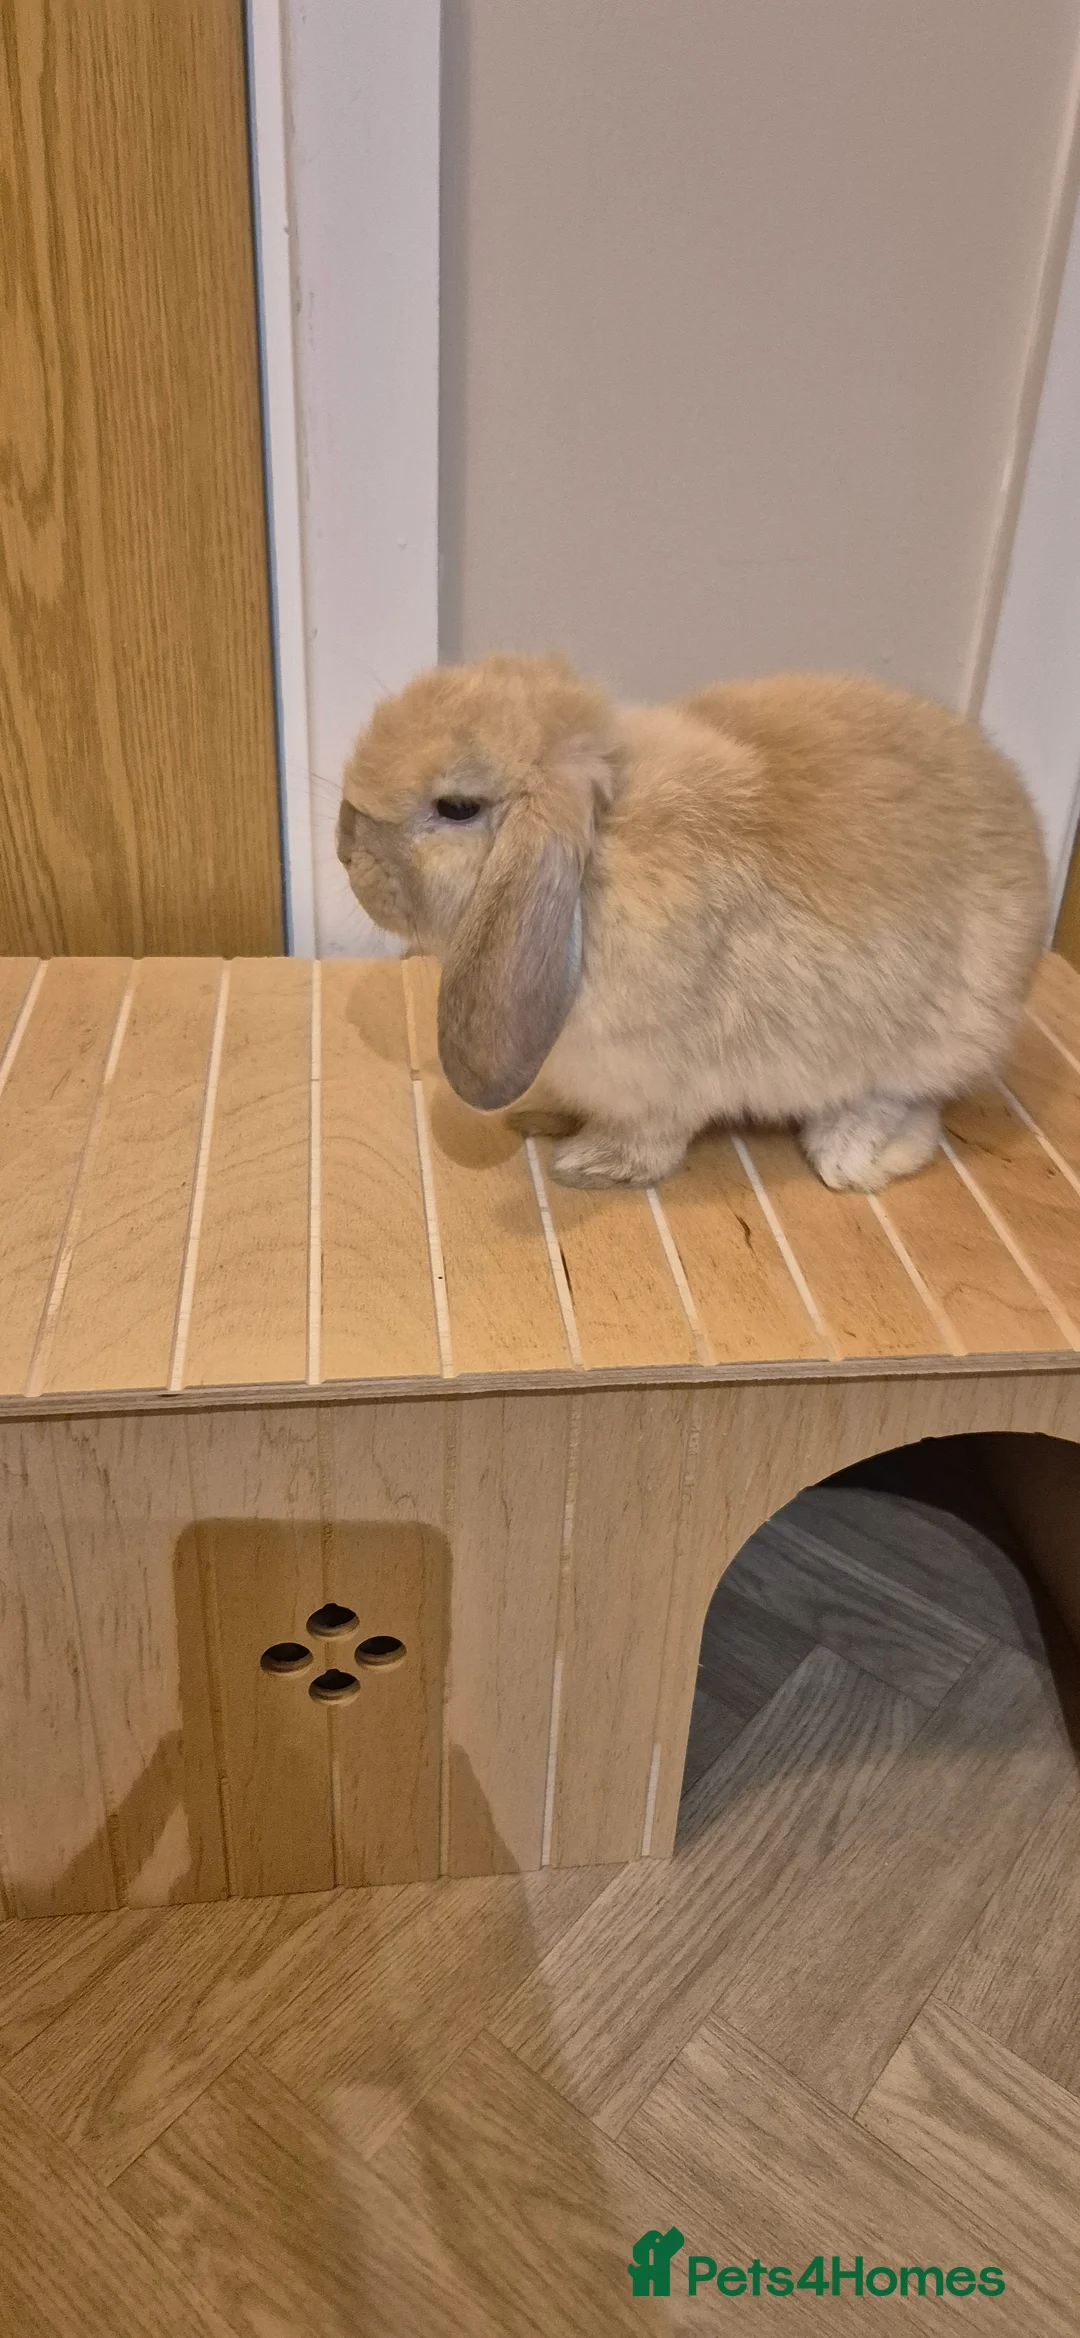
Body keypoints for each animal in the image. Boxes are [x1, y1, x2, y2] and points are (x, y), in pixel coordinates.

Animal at [337, 652, 1048, 1192]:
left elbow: (652, 1139)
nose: (346, 851)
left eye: (457, 807)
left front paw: (591, 1163)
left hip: (927, 1038)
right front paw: (544, 1114)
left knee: (903, 1102)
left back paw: (849, 1155)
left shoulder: (662, 1077)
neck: (601, 856)